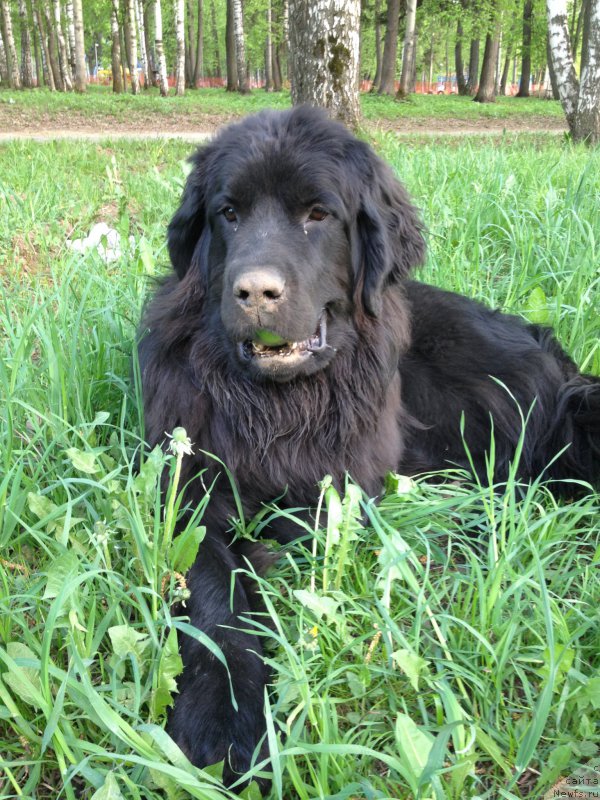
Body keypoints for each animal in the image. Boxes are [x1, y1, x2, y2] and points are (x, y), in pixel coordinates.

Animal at [138, 104, 596, 788]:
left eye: (318, 214)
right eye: (228, 213)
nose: (255, 292)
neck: (279, 403)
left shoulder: (346, 486)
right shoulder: (189, 491)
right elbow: (215, 588)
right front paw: (226, 714)